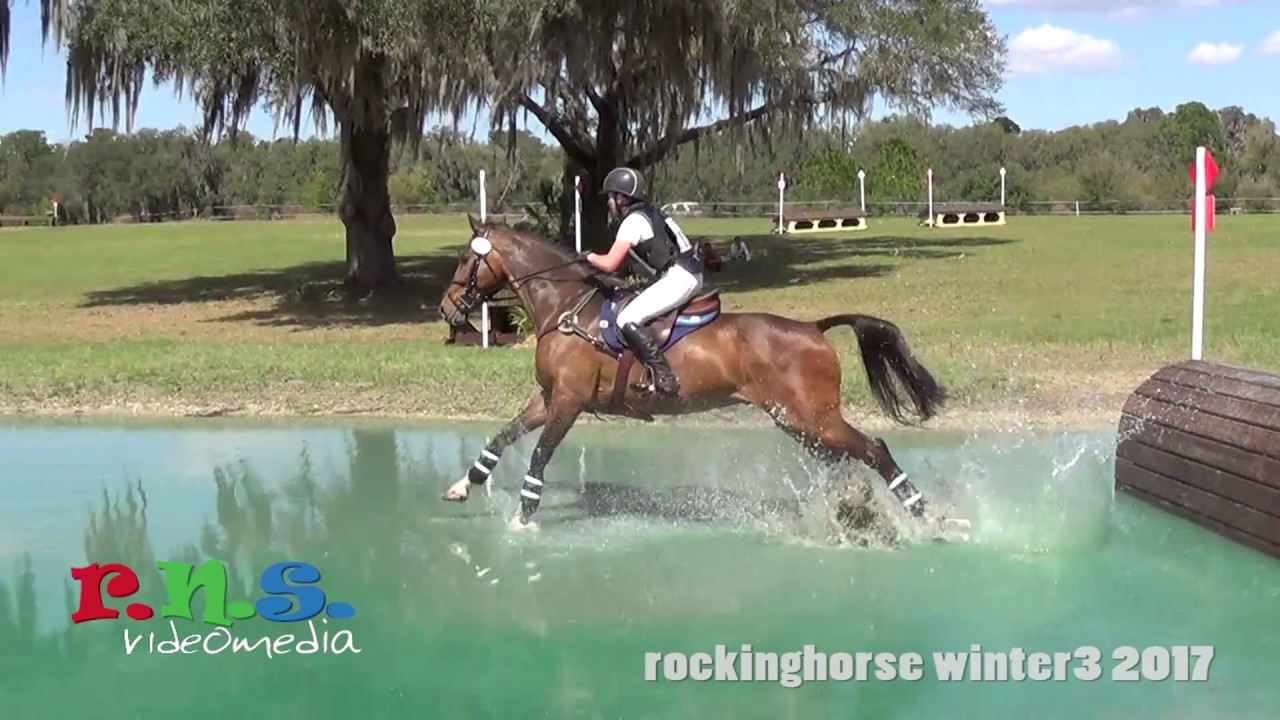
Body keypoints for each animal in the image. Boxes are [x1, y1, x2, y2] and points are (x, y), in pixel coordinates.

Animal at [438, 214, 970, 539]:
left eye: (466, 260)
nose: (446, 308)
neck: (564, 308)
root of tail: (812, 329)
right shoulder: (550, 398)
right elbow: (502, 436)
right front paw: (464, 485)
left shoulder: (568, 401)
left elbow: (540, 455)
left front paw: (524, 518)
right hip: (800, 423)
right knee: (844, 460)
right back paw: (856, 515)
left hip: (811, 418)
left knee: (873, 450)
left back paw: (927, 517)